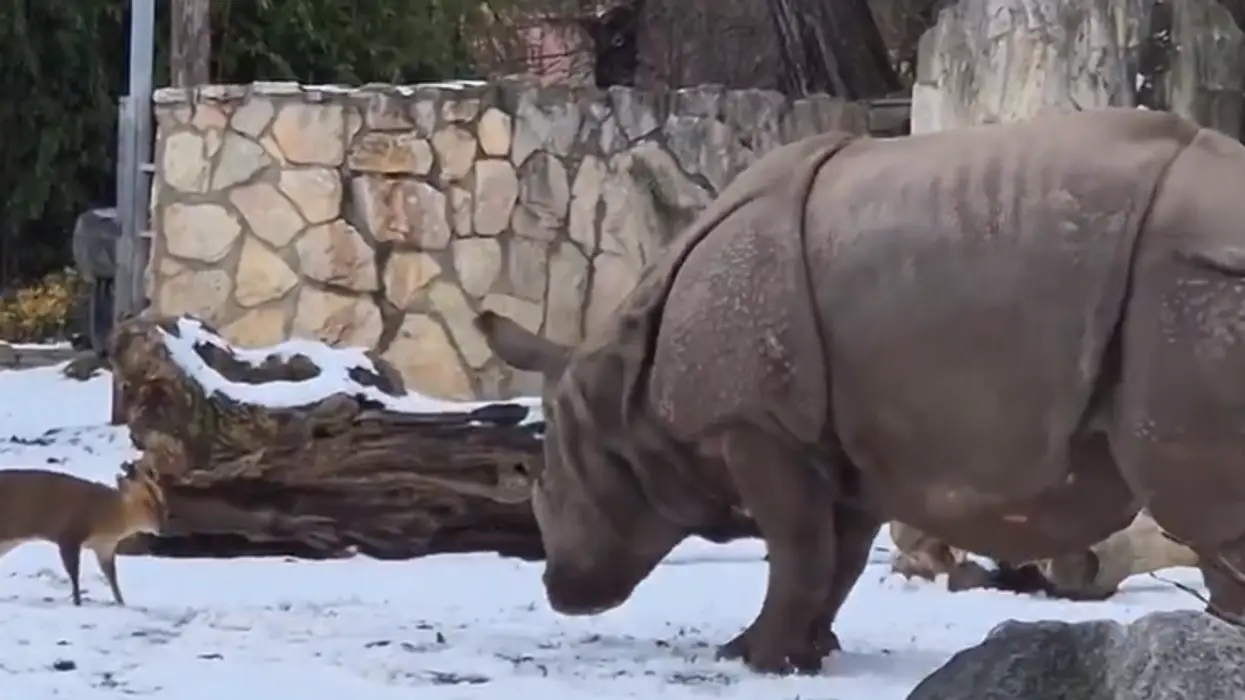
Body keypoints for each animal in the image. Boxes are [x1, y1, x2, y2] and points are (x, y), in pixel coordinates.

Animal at [474, 107, 1245, 675]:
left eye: (550, 484)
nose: (561, 591)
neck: (621, 386)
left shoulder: (756, 424)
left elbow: (797, 546)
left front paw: (753, 660)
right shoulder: (847, 437)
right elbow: (836, 556)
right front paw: (808, 654)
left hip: (1187, 282)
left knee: (1195, 507)